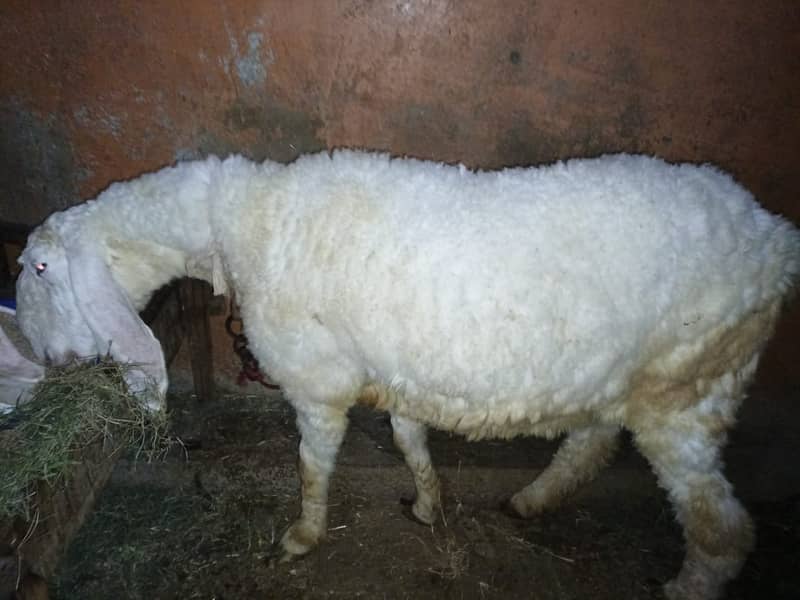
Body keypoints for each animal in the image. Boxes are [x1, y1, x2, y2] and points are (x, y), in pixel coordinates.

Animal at [15, 150, 800, 600]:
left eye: (41, 268)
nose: (43, 359)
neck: (244, 223)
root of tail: (775, 238)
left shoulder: (318, 380)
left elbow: (312, 465)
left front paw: (303, 536)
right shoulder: (398, 372)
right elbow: (409, 441)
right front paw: (427, 504)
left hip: (688, 387)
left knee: (722, 530)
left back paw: (682, 587)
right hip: (628, 378)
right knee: (592, 444)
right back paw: (532, 499)